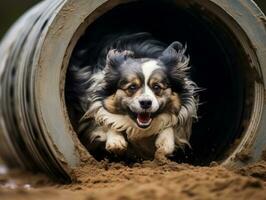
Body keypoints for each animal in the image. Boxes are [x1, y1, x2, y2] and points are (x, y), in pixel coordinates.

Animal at [67, 32, 198, 161]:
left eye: (157, 87)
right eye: (132, 87)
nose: (146, 103)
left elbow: (172, 122)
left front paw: (165, 143)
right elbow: (105, 118)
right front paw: (116, 141)